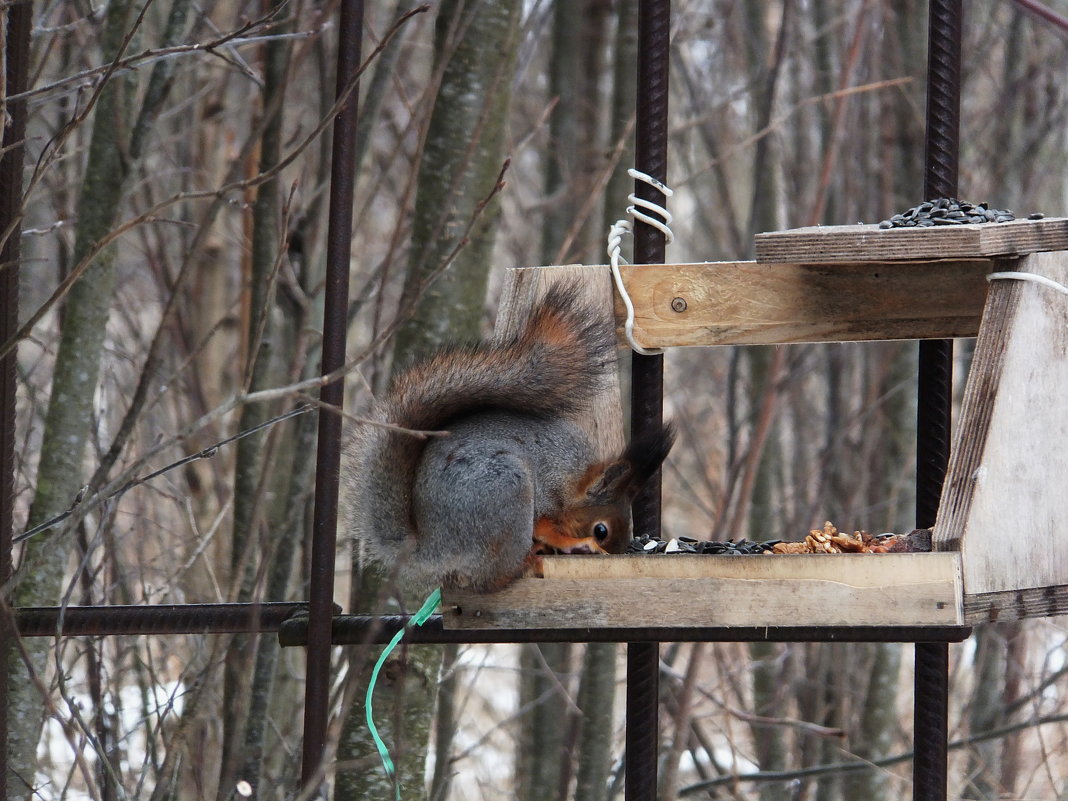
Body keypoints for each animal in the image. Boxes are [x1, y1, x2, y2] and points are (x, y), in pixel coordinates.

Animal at [343, 286, 674, 593]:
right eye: (601, 530)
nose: (610, 555)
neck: (575, 476)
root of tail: (438, 550)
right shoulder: (547, 488)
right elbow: (545, 526)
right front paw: (575, 543)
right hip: (505, 491)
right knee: (495, 577)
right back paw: (531, 559)